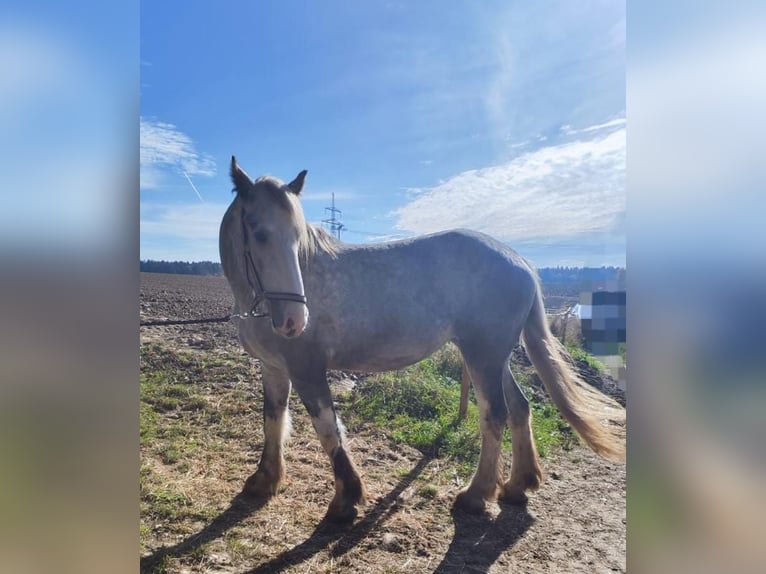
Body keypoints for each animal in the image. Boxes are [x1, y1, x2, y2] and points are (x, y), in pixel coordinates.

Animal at [219, 156, 625, 521]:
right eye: (258, 232)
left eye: (297, 236)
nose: (294, 321)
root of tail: (520, 262)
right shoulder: (273, 367)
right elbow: (273, 419)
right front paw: (264, 481)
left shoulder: (307, 368)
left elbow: (328, 429)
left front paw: (346, 499)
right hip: (495, 358)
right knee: (519, 408)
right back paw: (517, 486)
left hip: (482, 356)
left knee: (494, 414)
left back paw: (476, 495)